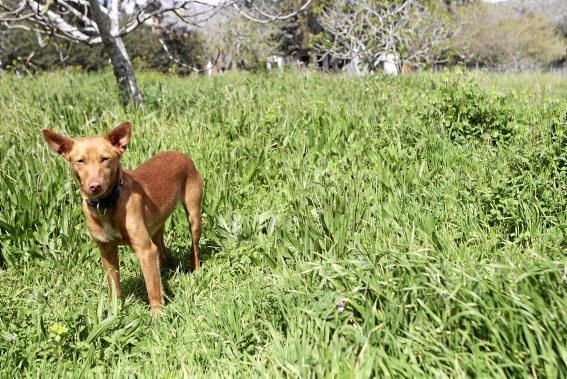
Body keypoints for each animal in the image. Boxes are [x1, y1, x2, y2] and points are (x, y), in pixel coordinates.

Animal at [41, 122, 202, 318]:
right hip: (155, 227)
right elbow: (114, 285)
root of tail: (179, 153)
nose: (95, 186)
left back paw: (196, 269)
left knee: (194, 247)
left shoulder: (145, 250)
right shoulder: (107, 251)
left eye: (105, 159)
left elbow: (152, 288)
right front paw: (114, 311)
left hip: (194, 216)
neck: (106, 205)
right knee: (161, 249)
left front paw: (157, 315)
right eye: (80, 161)